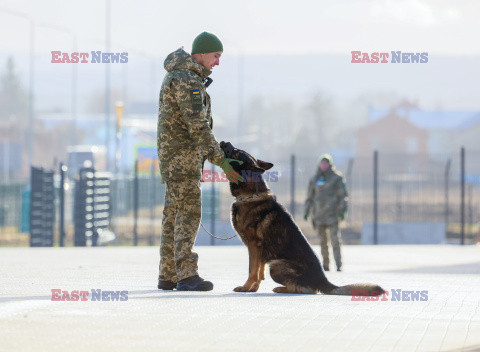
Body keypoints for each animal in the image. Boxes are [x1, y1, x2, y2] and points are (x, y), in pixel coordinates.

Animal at [219, 142, 384, 296]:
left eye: (236, 153)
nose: (224, 142)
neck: (250, 194)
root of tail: (323, 280)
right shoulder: (259, 251)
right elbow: (260, 271)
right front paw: (253, 288)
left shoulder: (254, 246)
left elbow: (252, 270)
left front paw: (246, 287)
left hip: (276, 265)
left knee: (308, 289)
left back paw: (282, 288)